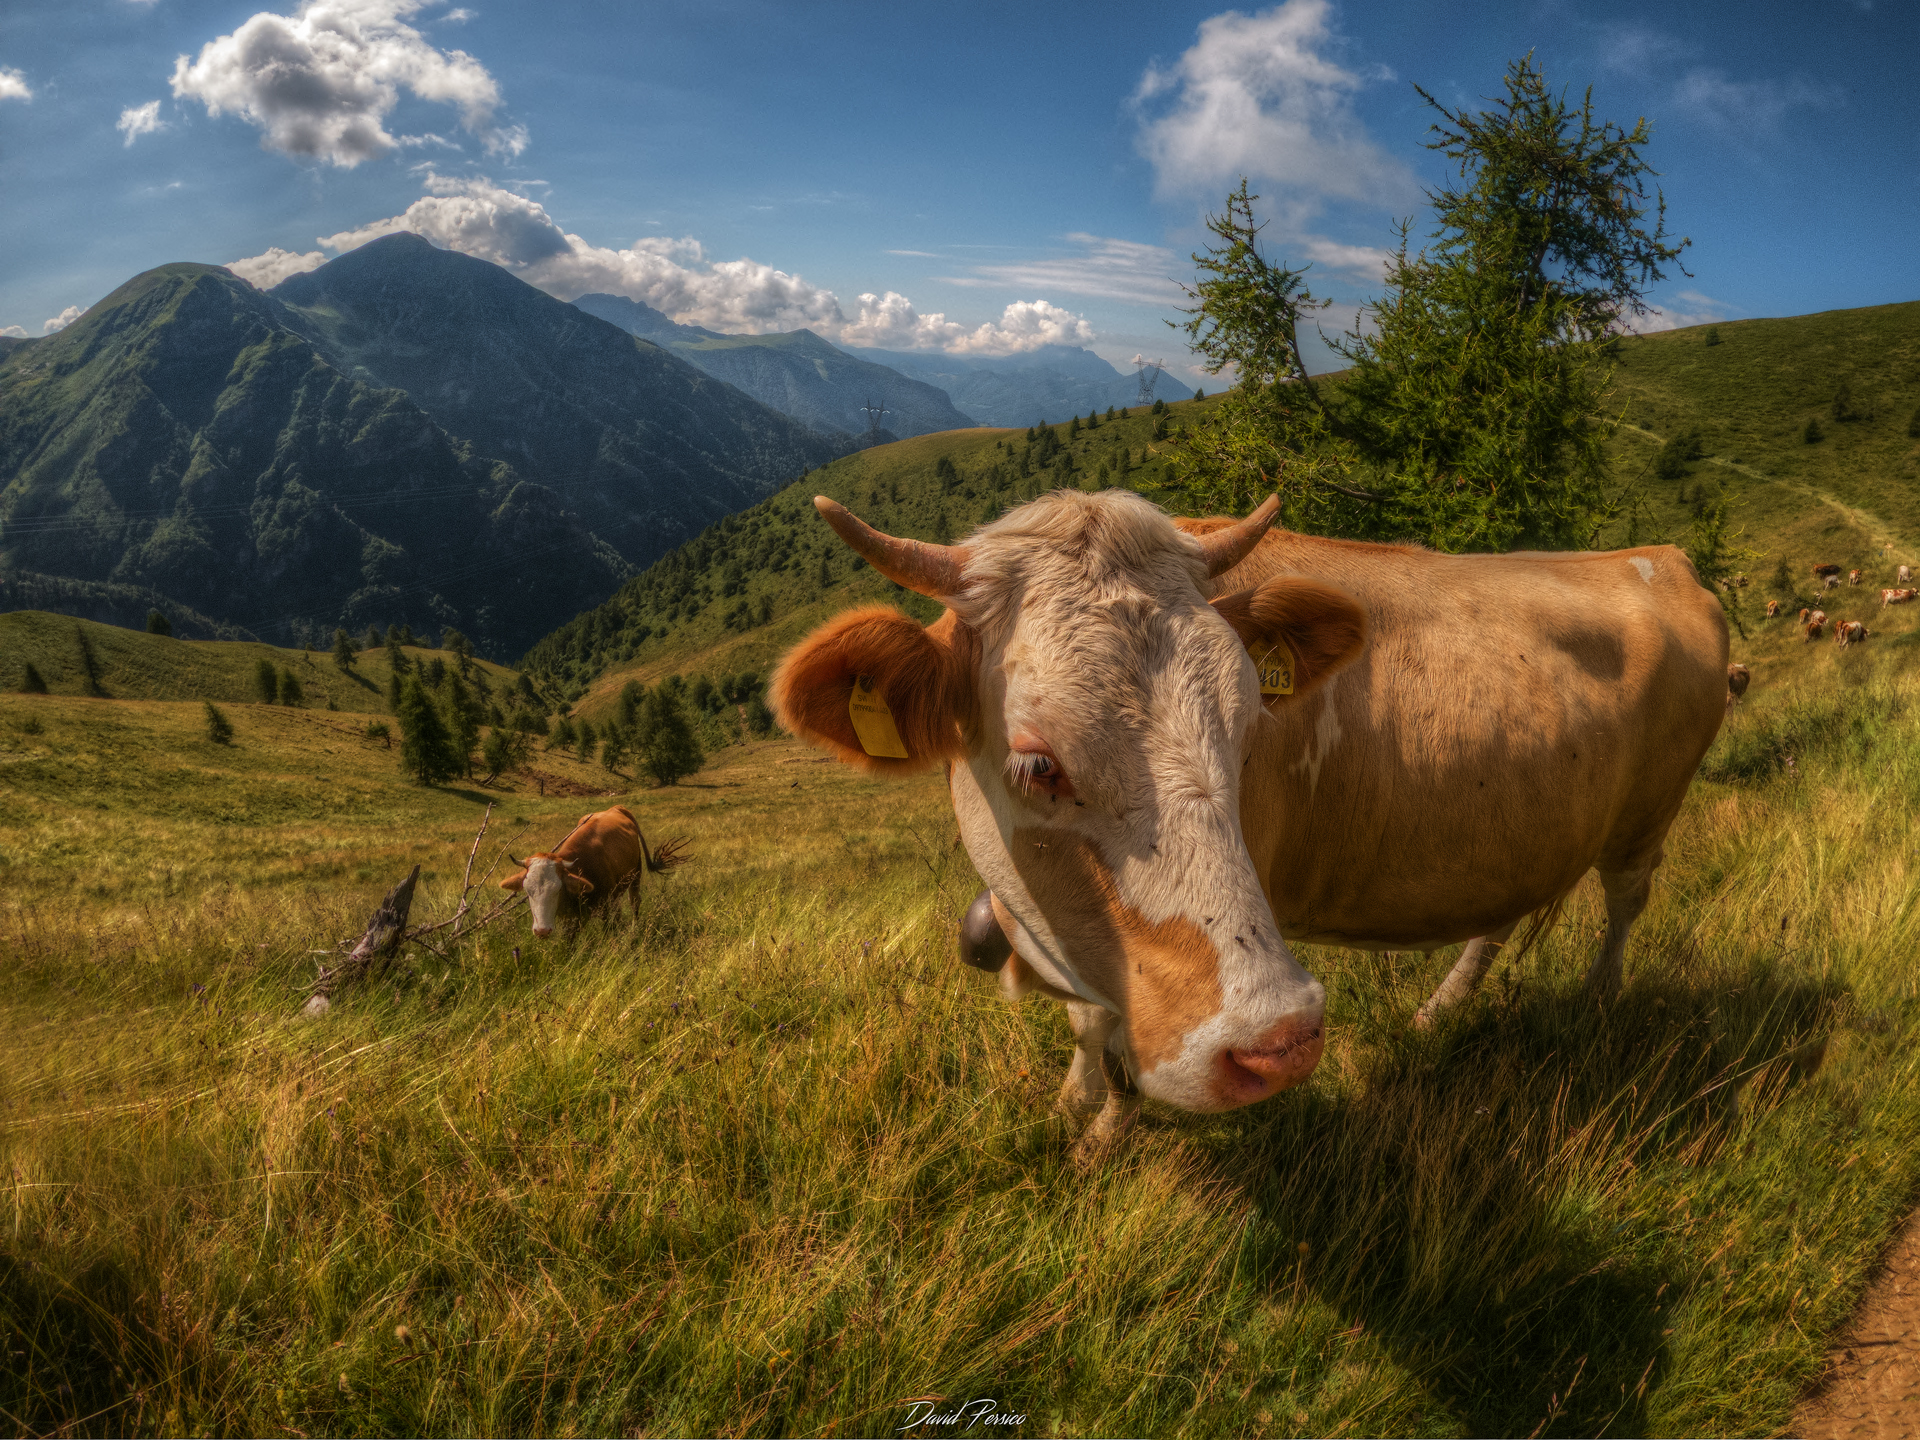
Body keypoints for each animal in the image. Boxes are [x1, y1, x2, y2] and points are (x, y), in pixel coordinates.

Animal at [500, 805, 688, 938]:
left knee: (634, 901)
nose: (542, 931)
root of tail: (616, 808)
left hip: (635, 875)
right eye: (528, 891)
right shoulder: (572, 919)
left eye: (557, 890)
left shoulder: (603, 908)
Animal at [772, 490, 1729, 1159]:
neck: (1038, 929)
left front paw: (1103, 1134)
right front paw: (1075, 1100)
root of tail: (1658, 558)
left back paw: (1598, 1005)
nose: (1279, 1043)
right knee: (1497, 922)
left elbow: (1115, 1037)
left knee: (1625, 905)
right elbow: (1087, 1026)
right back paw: (1440, 1010)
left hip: (1650, 816)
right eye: (1038, 764)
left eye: (1245, 730)